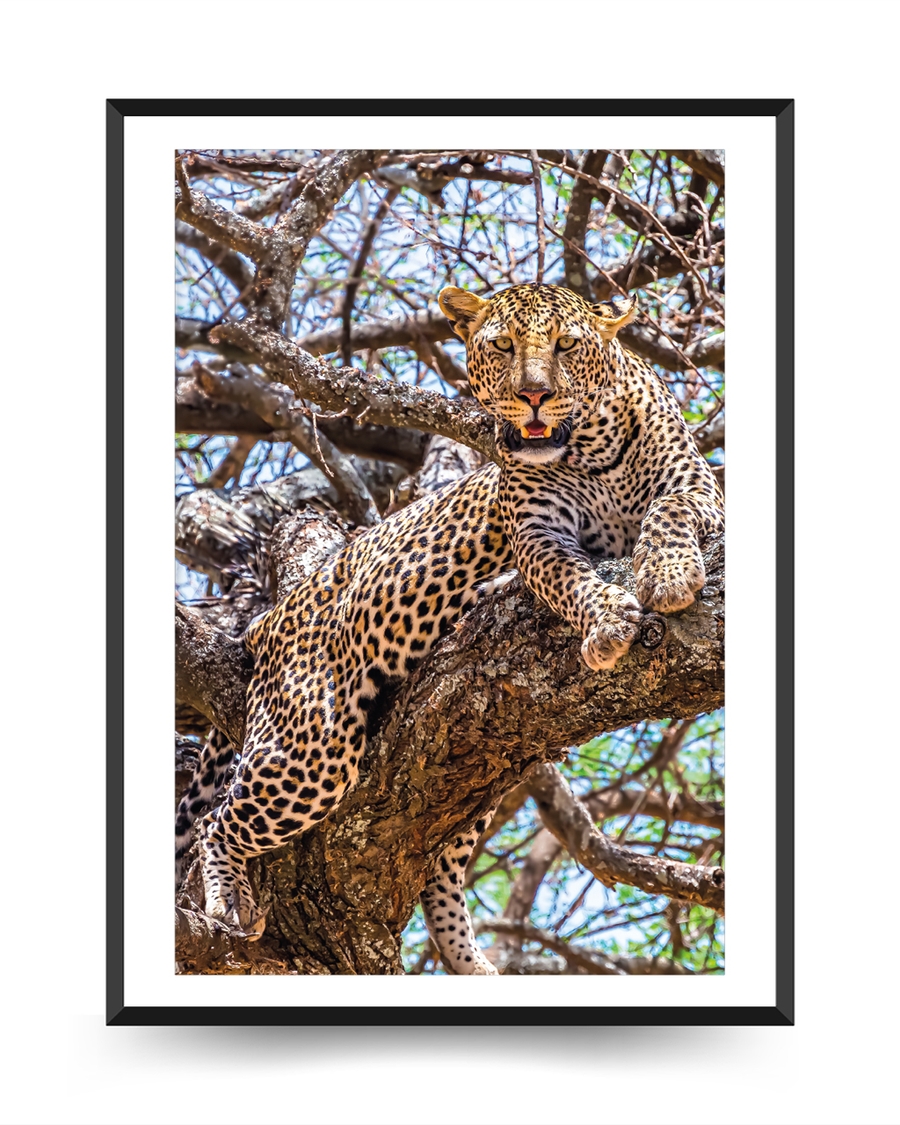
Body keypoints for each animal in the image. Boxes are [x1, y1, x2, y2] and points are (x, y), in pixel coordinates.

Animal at [175, 282, 724, 975]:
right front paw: (607, 619)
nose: (535, 395)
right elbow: (567, 580)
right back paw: (228, 900)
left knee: (442, 860)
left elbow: (670, 509)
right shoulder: (537, 535)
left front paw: (671, 572)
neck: (594, 449)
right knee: (216, 821)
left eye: (567, 345)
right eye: (503, 347)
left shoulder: (700, 492)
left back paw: (471, 962)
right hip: (311, 744)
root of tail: (271, 615)